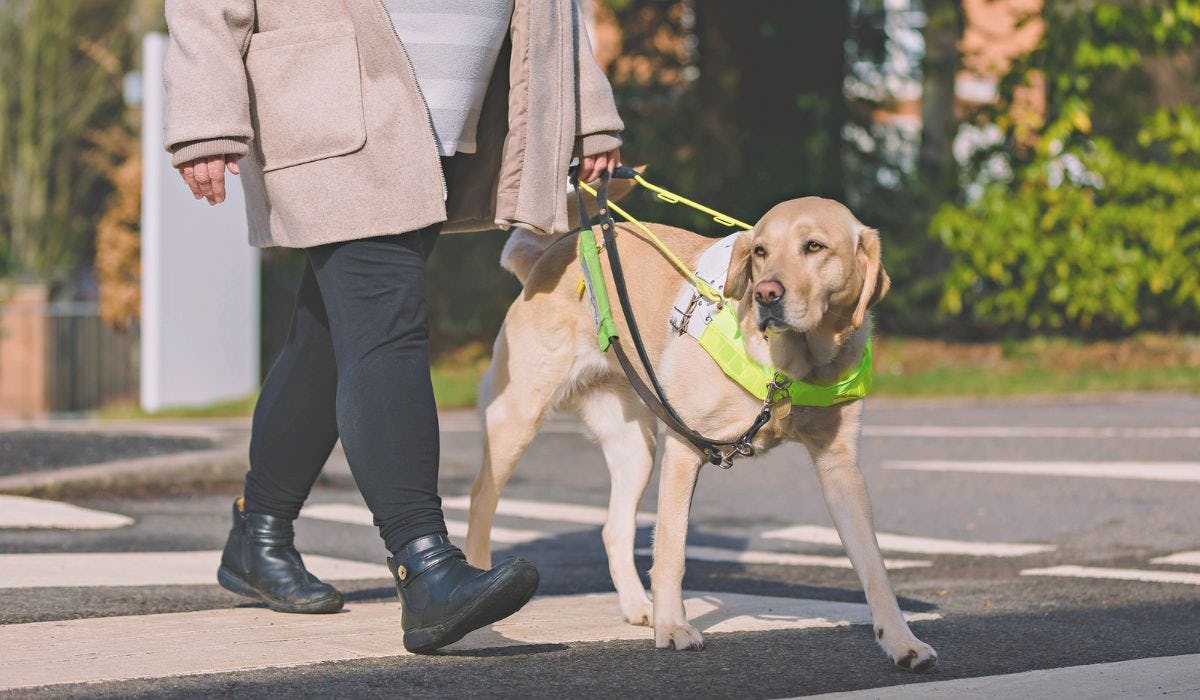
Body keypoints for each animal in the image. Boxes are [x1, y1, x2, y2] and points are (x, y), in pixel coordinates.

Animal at [458, 192, 936, 672]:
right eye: (760, 251)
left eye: (814, 246)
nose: (766, 295)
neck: (786, 371)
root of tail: (546, 258)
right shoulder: (685, 448)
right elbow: (672, 548)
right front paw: (672, 627)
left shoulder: (840, 468)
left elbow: (873, 564)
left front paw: (901, 640)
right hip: (519, 416)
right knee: (482, 497)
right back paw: (482, 594)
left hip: (637, 449)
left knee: (613, 528)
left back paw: (639, 606)